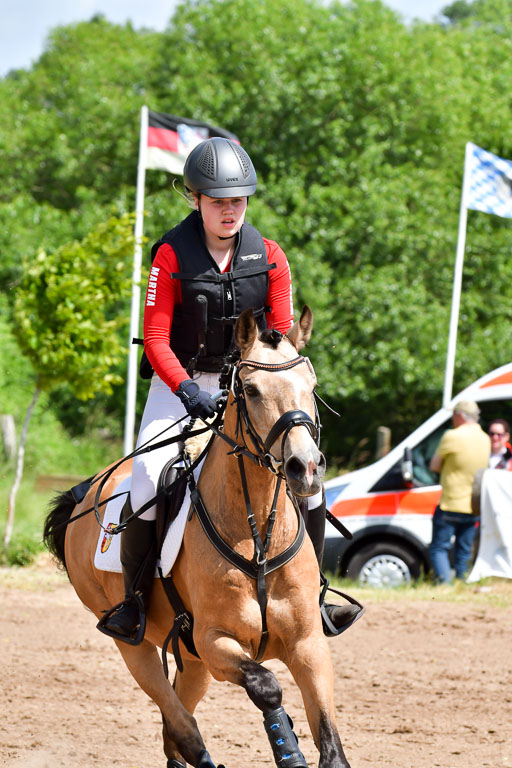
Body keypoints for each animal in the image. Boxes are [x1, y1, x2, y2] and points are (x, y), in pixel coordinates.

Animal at [44, 305, 353, 768]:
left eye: (311, 387)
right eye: (250, 389)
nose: (306, 467)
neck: (258, 537)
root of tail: (86, 492)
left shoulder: (308, 644)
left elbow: (329, 740)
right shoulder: (214, 641)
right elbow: (267, 686)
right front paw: (289, 749)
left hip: (191, 658)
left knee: (176, 724)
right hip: (137, 645)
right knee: (180, 724)